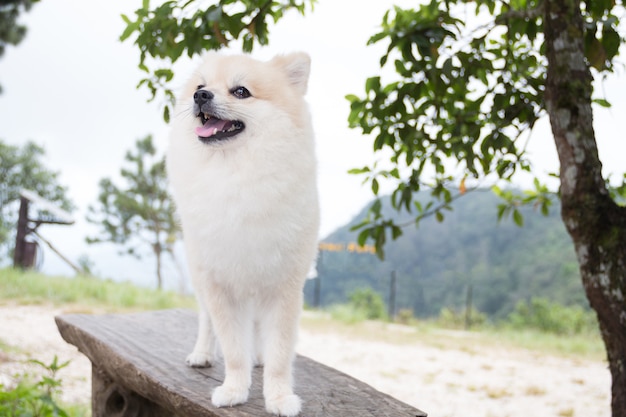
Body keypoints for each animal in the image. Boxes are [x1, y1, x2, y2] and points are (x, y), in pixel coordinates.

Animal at [165, 52, 316, 416]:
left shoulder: (282, 289)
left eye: (241, 92)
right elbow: (233, 349)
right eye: (201, 85)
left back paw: (258, 357)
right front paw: (234, 390)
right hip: (201, 278)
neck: (235, 174)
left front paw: (278, 397)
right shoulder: (220, 287)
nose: (200, 96)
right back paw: (203, 354)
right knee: (206, 321)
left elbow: (279, 354)